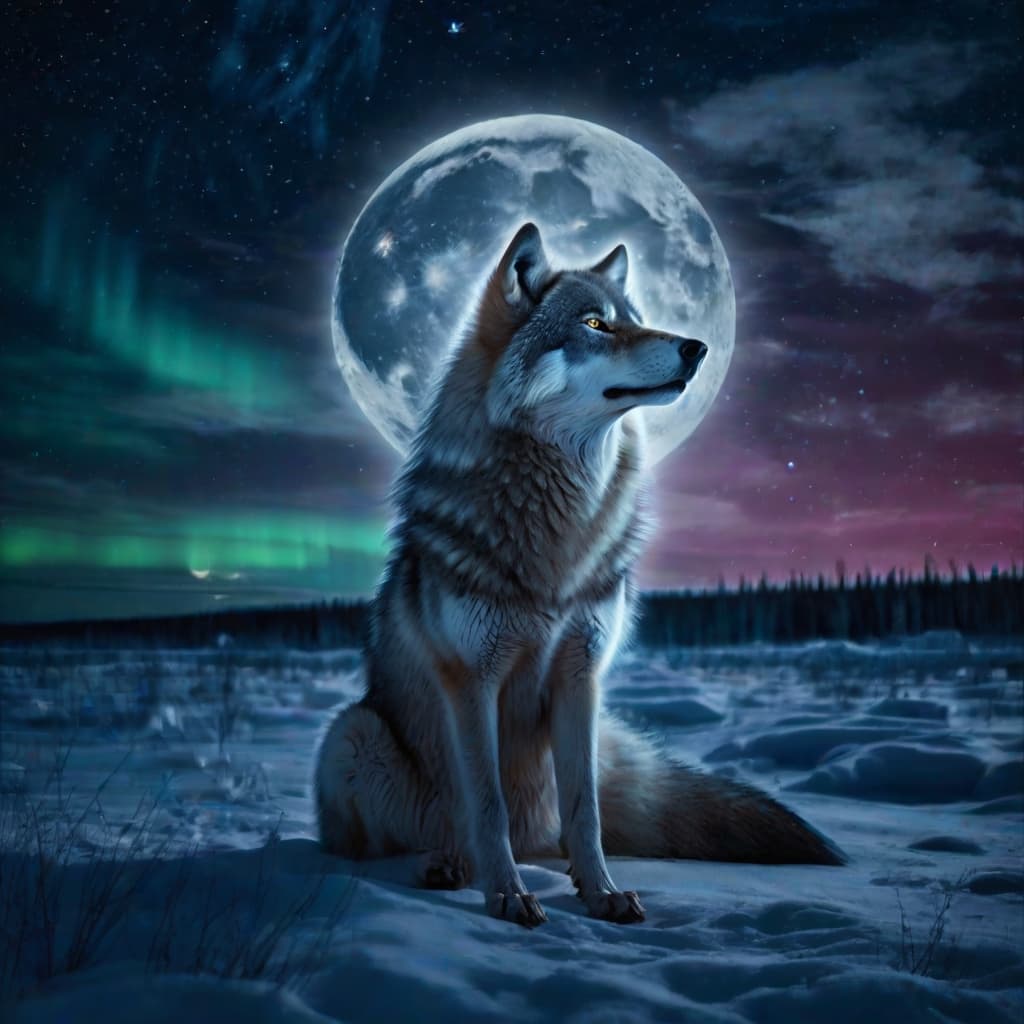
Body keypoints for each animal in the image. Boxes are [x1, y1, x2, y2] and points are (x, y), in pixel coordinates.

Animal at [315, 222, 843, 928]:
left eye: (635, 320)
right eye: (595, 324)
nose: (699, 346)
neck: (557, 539)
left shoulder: (580, 677)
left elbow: (585, 812)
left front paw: (602, 894)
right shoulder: (471, 681)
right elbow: (486, 806)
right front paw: (509, 895)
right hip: (353, 734)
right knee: (392, 845)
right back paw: (442, 865)